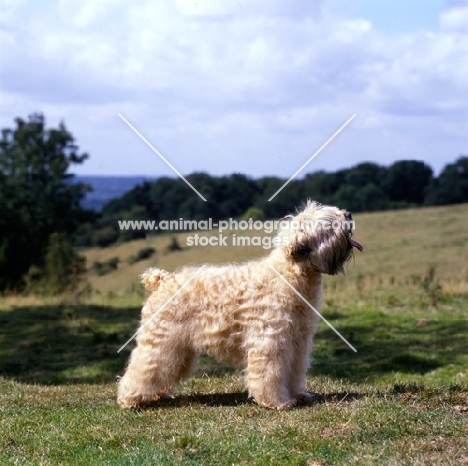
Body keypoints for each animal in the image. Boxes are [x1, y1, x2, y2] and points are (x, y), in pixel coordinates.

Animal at [116, 200, 362, 408]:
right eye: (329, 222)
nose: (349, 213)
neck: (292, 274)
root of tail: (163, 279)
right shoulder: (271, 341)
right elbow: (271, 374)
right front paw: (277, 402)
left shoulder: (298, 342)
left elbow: (295, 371)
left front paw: (298, 394)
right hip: (159, 343)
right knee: (141, 369)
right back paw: (129, 399)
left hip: (180, 349)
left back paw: (154, 396)